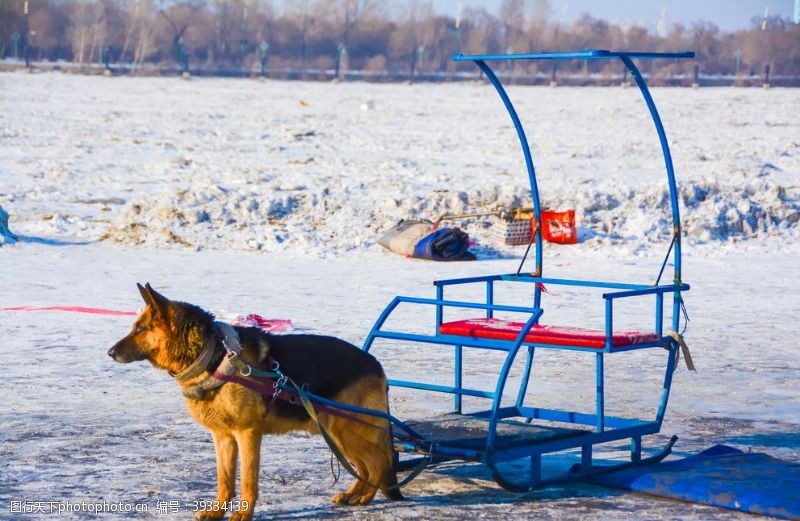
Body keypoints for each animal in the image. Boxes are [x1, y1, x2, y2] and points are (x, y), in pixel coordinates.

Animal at [108, 284, 400, 520]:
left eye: (140, 329)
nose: (110, 352)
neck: (213, 355)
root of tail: (375, 364)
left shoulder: (247, 434)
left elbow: (247, 480)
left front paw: (243, 514)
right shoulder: (223, 437)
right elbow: (225, 480)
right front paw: (217, 511)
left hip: (344, 430)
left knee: (379, 461)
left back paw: (365, 496)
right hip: (338, 434)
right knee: (366, 466)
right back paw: (356, 494)